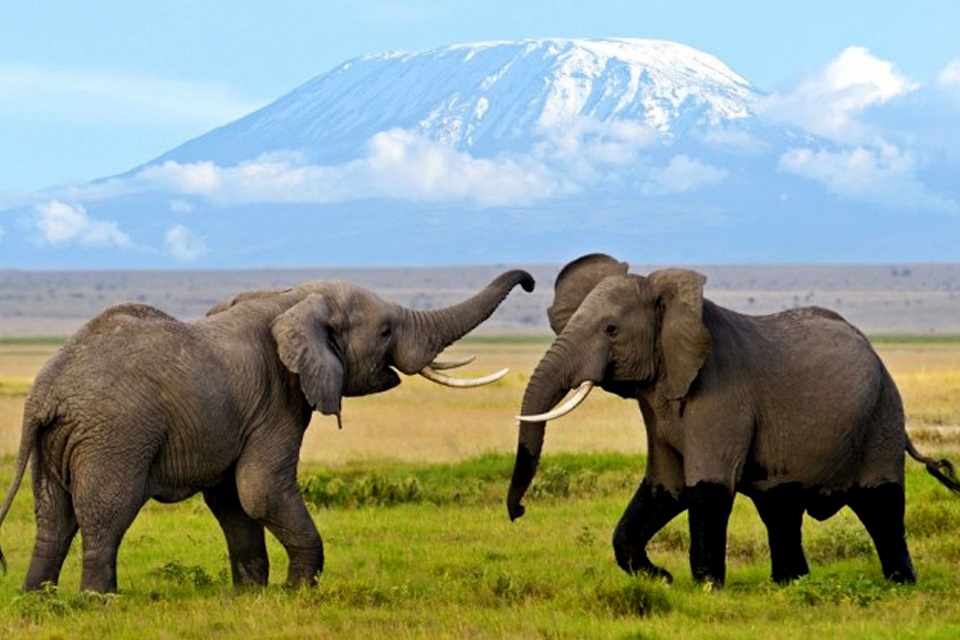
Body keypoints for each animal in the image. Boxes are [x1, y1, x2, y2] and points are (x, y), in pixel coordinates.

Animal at [0, 268, 532, 592]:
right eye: (384, 332)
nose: (528, 281)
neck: (292, 296)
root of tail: (45, 392)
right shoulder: (277, 399)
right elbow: (261, 490)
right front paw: (300, 591)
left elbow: (232, 500)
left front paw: (251, 595)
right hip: (115, 436)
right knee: (105, 513)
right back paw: (99, 600)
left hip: (55, 441)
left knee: (54, 516)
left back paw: (38, 598)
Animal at [506, 254, 956, 584]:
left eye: (611, 330)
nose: (519, 512)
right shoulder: (657, 399)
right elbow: (665, 487)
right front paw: (661, 578)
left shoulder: (721, 394)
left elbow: (707, 488)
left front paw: (705, 587)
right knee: (780, 507)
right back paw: (790, 583)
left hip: (882, 413)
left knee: (881, 504)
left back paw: (900, 582)